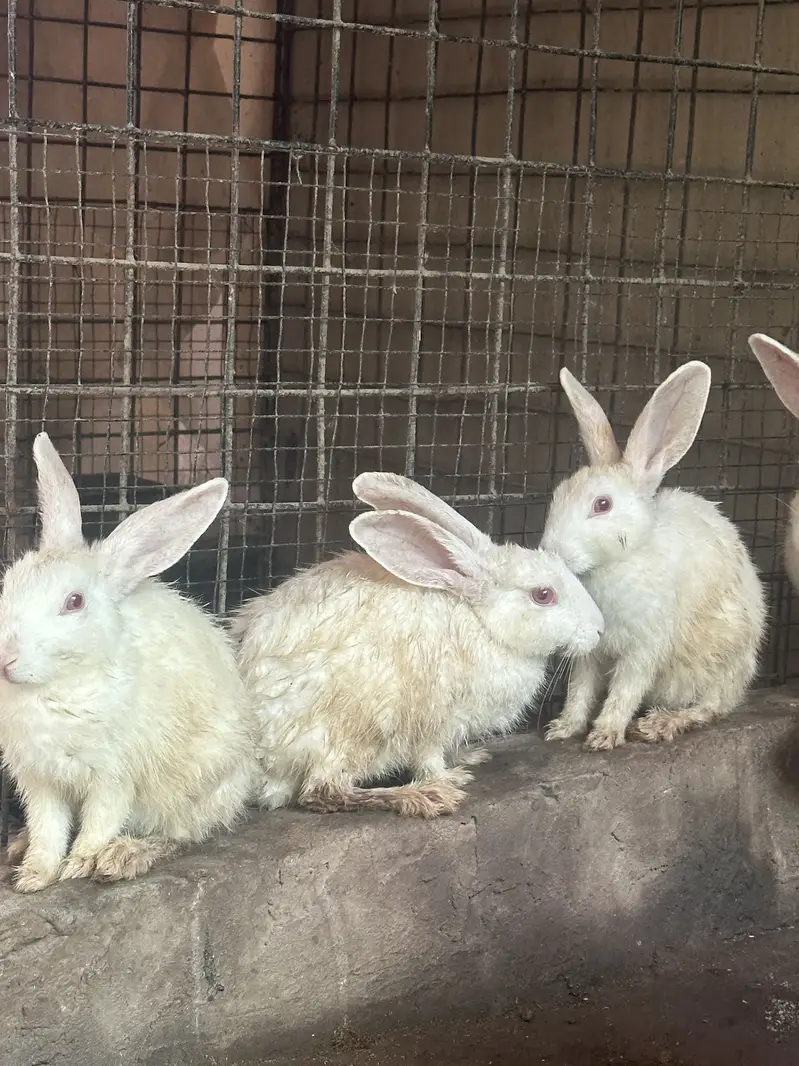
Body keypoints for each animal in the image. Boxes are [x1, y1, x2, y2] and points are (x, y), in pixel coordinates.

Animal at [0, 433, 261, 893]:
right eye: (9, 582)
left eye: (74, 602)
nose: (5, 657)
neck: (55, 689)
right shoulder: (38, 781)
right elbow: (48, 828)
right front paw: (33, 875)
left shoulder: (114, 775)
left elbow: (99, 821)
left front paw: (79, 864)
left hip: (198, 788)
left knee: (183, 834)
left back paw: (125, 856)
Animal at [229, 472, 605, 819]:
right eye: (543, 595)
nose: (600, 630)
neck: (483, 623)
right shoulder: (436, 722)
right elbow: (430, 758)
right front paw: (449, 778)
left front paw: (470, 757)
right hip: (347, 731)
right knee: (324, 792)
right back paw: (420, 797)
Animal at [540, 361, 766, 752]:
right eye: (558, 494)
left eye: (602, 504)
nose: (553, 551)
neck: (620, 561)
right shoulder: (591, 652)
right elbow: (580, 689)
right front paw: (564, 728)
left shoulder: (645, 646)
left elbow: (626, 689)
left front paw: (604, 735)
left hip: (724, 660)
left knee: (712, 707)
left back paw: (660, 723)